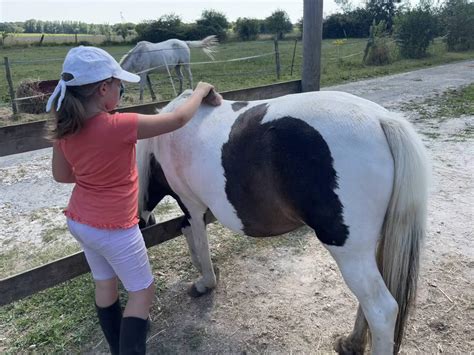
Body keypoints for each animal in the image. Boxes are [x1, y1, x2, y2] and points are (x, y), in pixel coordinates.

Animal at [136, 89, 430, 355]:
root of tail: (381, 119)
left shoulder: (191, 204)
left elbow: (196, 235)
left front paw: (206, 281)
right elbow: (188, 233)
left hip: (350, 252)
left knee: (381, 311)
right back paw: (351, 343)